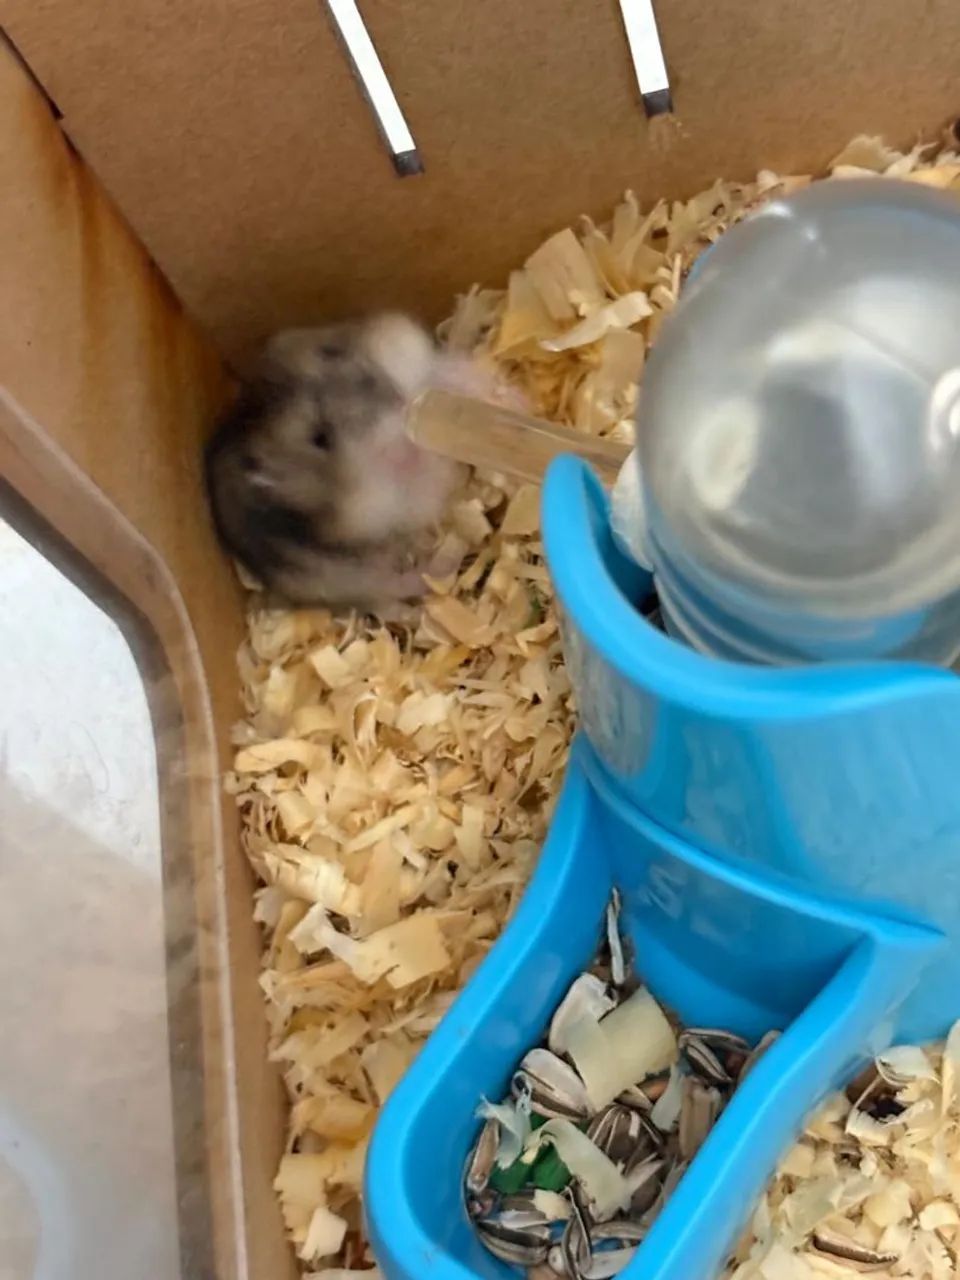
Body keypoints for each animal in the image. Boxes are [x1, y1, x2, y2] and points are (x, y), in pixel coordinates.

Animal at [205, 312, 491, 610]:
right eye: (320, 438)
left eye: (332, 351)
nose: (401, 408)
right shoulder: (370, 510)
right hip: (326, 577)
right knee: (384, 587)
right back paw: (437, 571)